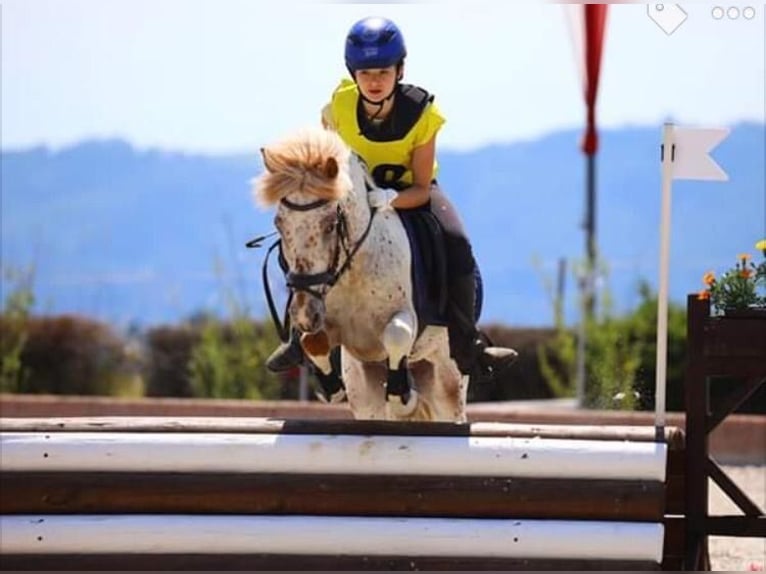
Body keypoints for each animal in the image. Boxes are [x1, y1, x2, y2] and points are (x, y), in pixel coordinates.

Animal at [254, 127, 468, 424]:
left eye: (330, 224)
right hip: (366, 392)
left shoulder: (408, 317)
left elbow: (396, 334)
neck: (354, 270)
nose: (305, 315)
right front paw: (332, 390)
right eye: (279, 224)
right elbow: (312, 341)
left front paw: (405, 397)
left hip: (447, 382)